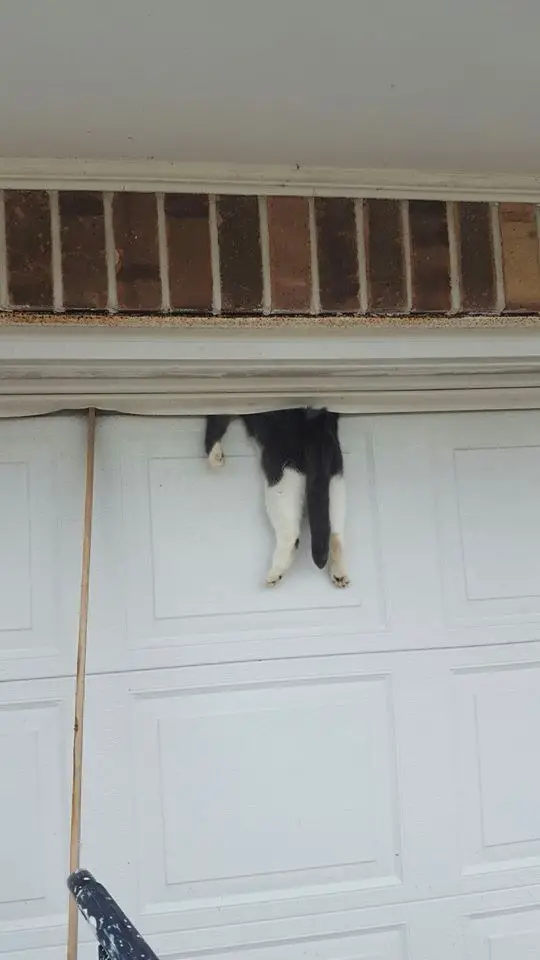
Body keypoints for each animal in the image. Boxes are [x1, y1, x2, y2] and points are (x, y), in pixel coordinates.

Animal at [204, 408, 350, 588]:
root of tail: (316, 420)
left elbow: (215, 422)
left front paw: (214, 455)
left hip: (282, 476)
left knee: (291, 532)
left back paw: (276, 572)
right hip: (335, 476)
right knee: (335, 531)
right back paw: (339, 573)